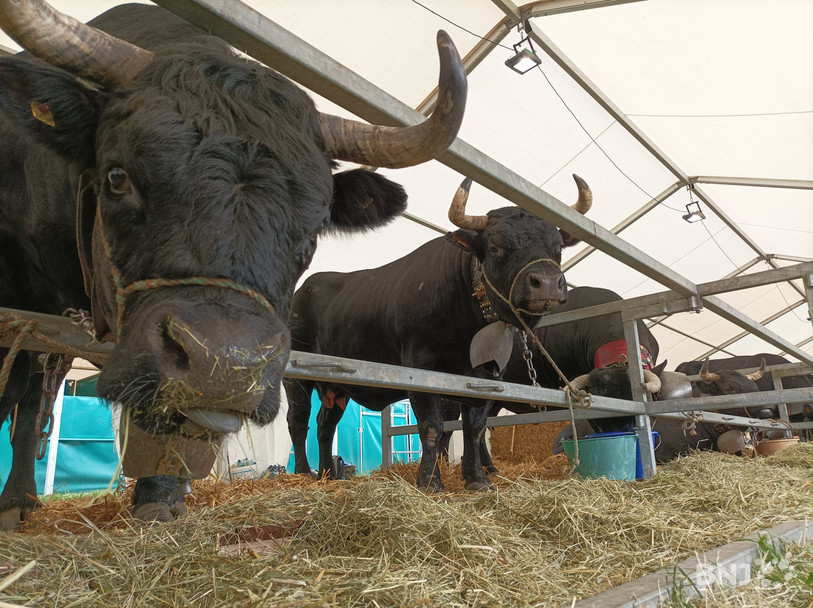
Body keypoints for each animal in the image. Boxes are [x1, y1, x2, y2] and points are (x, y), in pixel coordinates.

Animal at [0, 1, 467, 529]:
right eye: (118, 177)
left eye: (313, 231)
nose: (224, 366)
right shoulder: (23, 307)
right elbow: (20, 395)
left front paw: (160, 495)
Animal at [285, 174, 593, 492]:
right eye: (495, 248)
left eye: (558, 248)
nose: (547, 283)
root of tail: (305, 288)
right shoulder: (421, 371)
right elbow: (433, 427)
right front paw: (430, 481)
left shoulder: (489, 379)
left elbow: (474, 428)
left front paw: (477, 478)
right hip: (296, 374)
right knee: (299, 419)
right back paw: (302, 472)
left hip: (335, 385)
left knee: (326, 423)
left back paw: (327, 473)